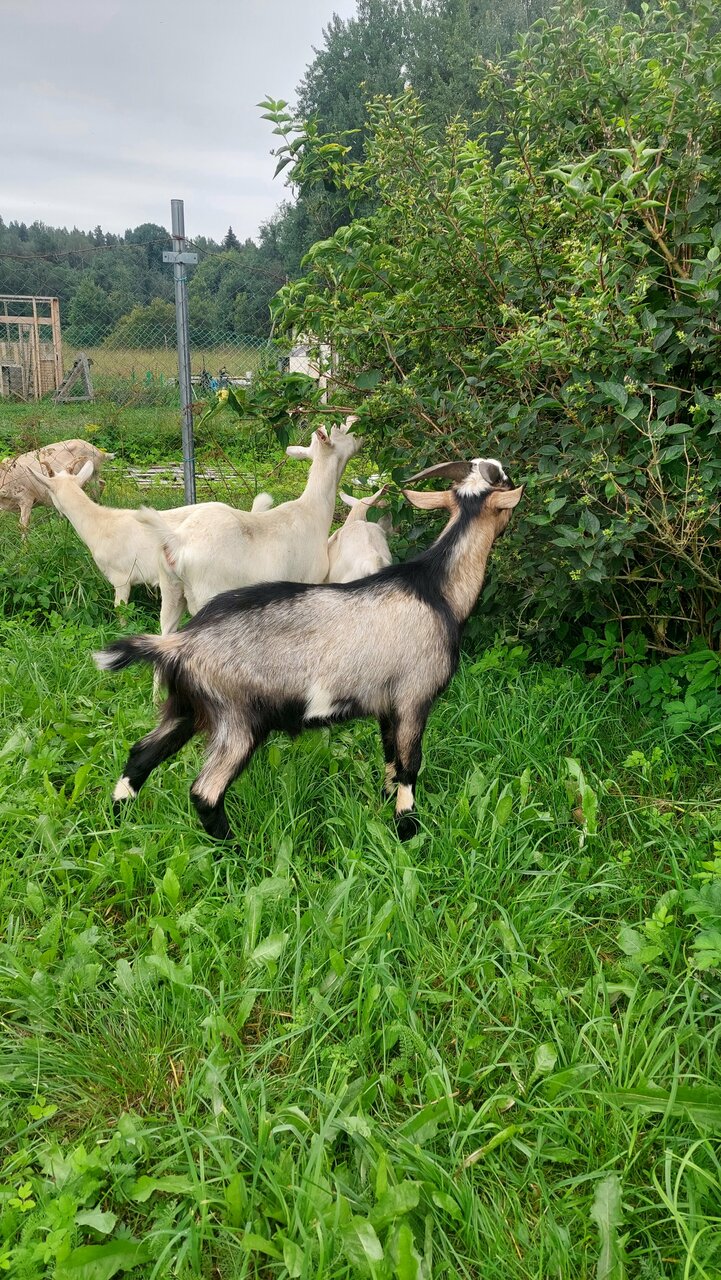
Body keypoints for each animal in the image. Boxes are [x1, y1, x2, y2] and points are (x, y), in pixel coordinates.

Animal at [95, 457, 523, 841]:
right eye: (504, 481)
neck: (436, 589)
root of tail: (181, 642)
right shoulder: (414, 696)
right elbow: (408, 766)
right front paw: (407, 830)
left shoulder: (385, 704)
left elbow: (389, 758)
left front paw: (384, 804)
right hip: (237, 719)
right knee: (205, 792)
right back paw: (236, 849)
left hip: (185, 707)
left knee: (140, 754)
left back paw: (117, 822)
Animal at [133, 418, 361, 634]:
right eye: (340, 428)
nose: (355, 417)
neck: (312, 510)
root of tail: (177, 541)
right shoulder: (309, 579)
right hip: (207, 595)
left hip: (170, 592)